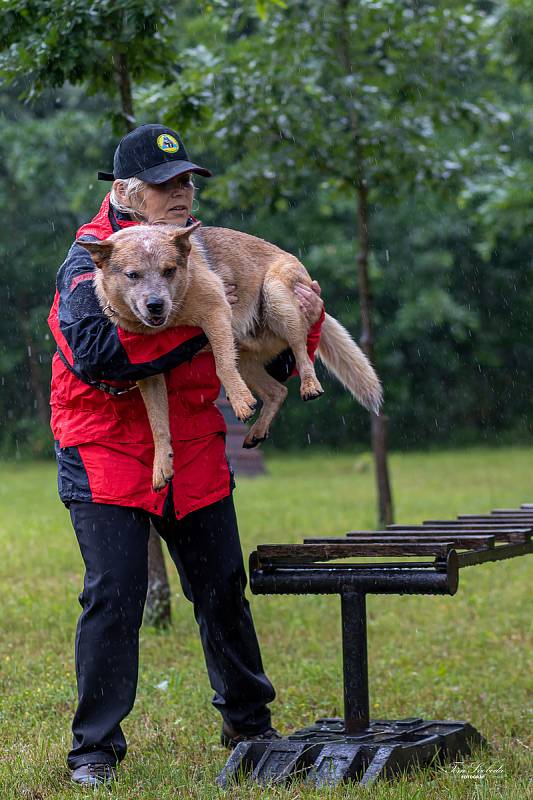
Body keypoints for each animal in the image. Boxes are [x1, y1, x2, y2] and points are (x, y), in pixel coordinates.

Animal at [78, 222, 382, 490]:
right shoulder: (147, 368)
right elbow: (158, 423)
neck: (174, 319)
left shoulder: (216, 312)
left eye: (168, 270)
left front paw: (241, 402)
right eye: (133, 275)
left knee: (300, 351)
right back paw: (256, 432)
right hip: (245, 355)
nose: (156, 304)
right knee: (278, 390)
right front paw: (161, 468)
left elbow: (222, 366)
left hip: (275, 296)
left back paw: (309, 385)